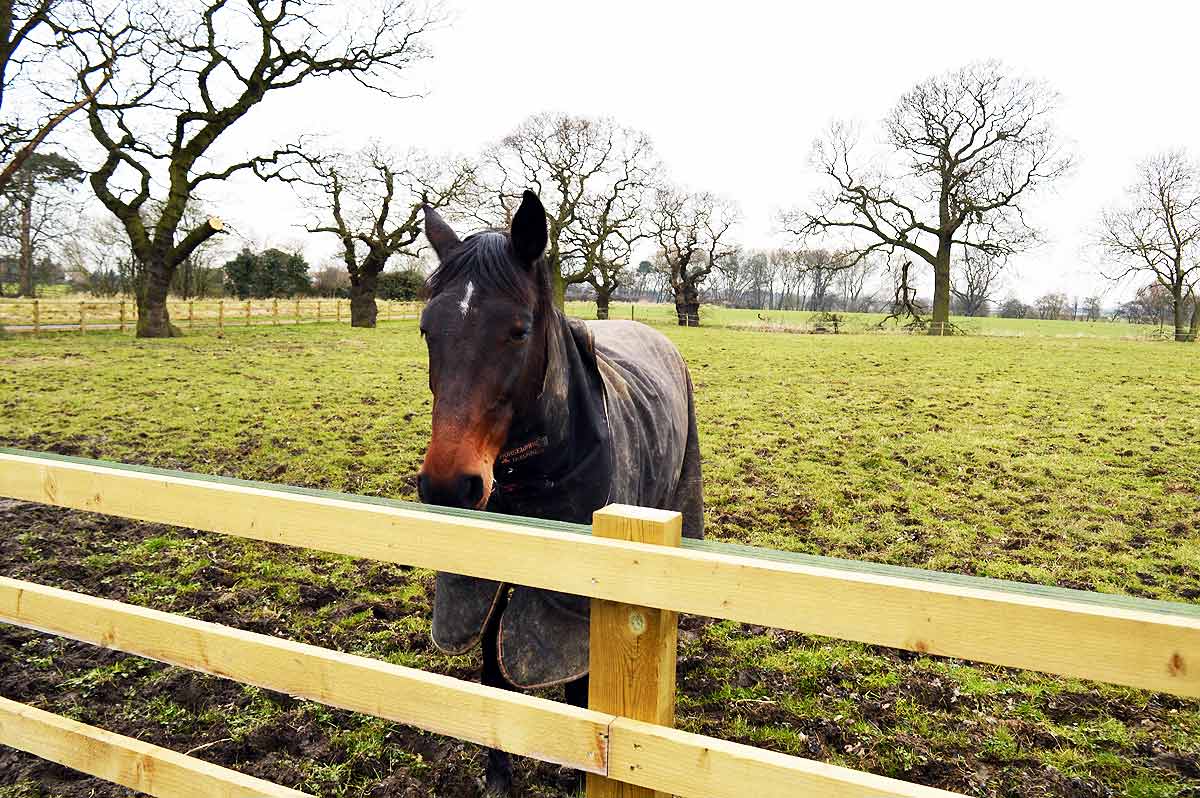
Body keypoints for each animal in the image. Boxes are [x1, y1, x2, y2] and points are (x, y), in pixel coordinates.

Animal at [415, 189, 700, 792]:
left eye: (520, 330)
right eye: (428, 329)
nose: (449, 484)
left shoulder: (578, 596)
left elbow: (578, 681)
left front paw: (575, 772)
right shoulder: (490, 576)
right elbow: (493, 665)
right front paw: (499, 773)